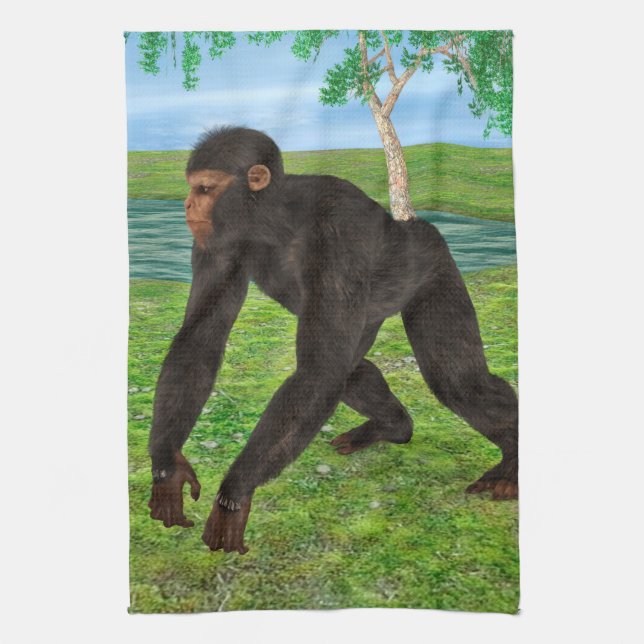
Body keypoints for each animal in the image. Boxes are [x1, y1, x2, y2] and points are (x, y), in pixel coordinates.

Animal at [147, 125, 518, 554]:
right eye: (193, 187)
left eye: (205, 187)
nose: (188, 204)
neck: (273, 220)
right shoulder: (215, 244)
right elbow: (200, 339)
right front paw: (167, 469)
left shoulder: (340, 233)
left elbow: (319, 370)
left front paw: (234, 495)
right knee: (352, 368)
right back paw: (393, 425)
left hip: (433, 261)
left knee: (457, 381)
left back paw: (512, 461)